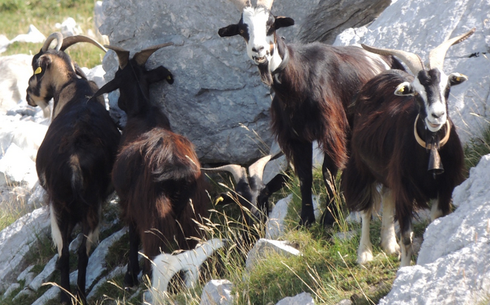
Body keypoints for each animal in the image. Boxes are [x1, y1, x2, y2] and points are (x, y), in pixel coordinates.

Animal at [25, 32, 120, 302]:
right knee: (83, 253)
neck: (71, 86)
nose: (28, 96)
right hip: (91, 207)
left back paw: (66, 296)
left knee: (65, 254)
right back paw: (80, 295)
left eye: (35, 69)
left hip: (58, 206)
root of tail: (75, 163)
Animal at [92, 42, 209, 288]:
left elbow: (132, 235)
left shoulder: (128, 202)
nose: (118, 103)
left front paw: (130, 275)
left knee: (155, 253)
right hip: (191, 212)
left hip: (154, 215)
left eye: (116, 76)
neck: (143, 112)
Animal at [220, 0, 404, 226]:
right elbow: (304, 175)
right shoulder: (296, 137)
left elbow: (327, 171)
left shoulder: (330, 128)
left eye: (271, 24)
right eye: (241, 29)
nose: (258, 51)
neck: (297, 81)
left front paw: (329, 218)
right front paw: (306, 219)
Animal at [340, 28, 474, 266]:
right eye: (416, 92)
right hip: (360, 165)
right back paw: (364, 254)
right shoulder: (404, 189)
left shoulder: (444, 187)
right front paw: (404, 267)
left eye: (447, 86)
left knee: (386, 194)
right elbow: (406, 236)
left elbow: (433, 224)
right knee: (366, 207)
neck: (431, 146)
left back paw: (388, 245)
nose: (437, 115)